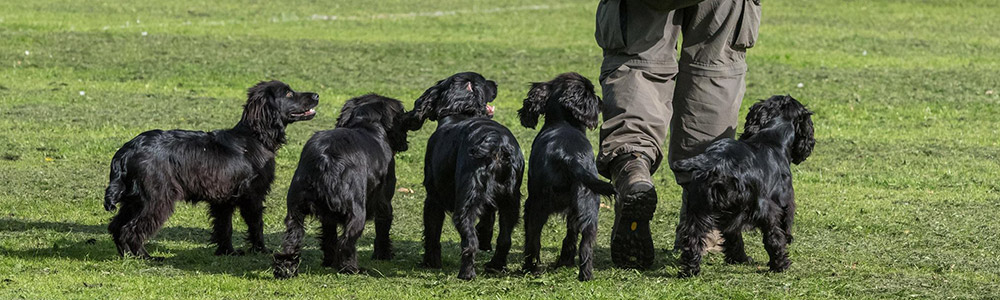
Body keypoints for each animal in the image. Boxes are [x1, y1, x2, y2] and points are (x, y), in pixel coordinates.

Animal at [103, 81, 314, 258]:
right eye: (288, 93)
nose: (316, 95)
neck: (254, 138)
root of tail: (126, 151)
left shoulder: (223, 199)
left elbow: (224, 227)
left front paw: (228, 252)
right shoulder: (252, 195)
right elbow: (256, 225)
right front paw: (261, 250)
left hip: (134, 200)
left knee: (116, 226)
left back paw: (127, 256)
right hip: (157, 199)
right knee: (130, 230)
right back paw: (145, 257)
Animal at [272, 94, 408, 278]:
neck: (365, 123)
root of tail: (324, 159)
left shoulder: (327, 216)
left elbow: (329, 236)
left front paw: (329, 262)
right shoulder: (384, 201)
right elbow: (383, 228)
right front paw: (383, 255)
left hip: (295, 211)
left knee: (292, 240)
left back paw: (286, 269)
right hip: (357, 212)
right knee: (346, 243)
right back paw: (352, 269)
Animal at [400, 71, 524, 280]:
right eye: (484, 81)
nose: (495, 83)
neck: (459, 113)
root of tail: (496, 143)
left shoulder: (433, 198)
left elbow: (432, 233)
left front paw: (431, 262)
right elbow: (487, 222)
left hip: (466, 202)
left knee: (469, 241)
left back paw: (466, 273)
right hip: (511, 201)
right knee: (504, 239)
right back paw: (495, 266)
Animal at [520, 72, 612, 282]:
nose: (601, 101)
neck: (563, 123)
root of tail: (569, 158)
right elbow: (571, 233)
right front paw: (566, 260)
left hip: (538, 204)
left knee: (534, 239)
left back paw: (530, 268)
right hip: (589, 205)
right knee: (586, 243)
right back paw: (585, 274)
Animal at [672, 95, 812, 278]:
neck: (772, 137)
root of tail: (716, 160)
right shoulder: (785, 201)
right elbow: (783, 225)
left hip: (700, 209)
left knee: (694, 238)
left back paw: (692, 270)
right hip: (761, 209)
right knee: (772, 237)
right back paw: (780, 265)